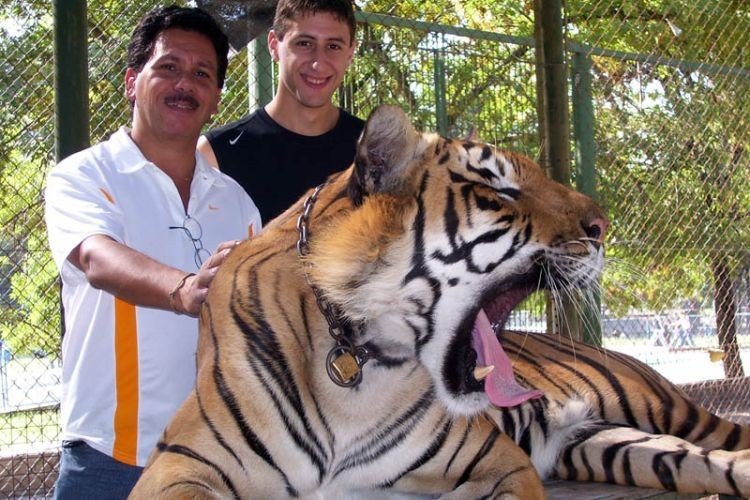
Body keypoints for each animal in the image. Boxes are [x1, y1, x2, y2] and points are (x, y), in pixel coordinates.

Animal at [131, 103, 750, 498]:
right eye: (499, 187)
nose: (603, 228)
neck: (355, 357)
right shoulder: (183, 466)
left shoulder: (500, 462)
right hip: (608, 442)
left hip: (665, 406)